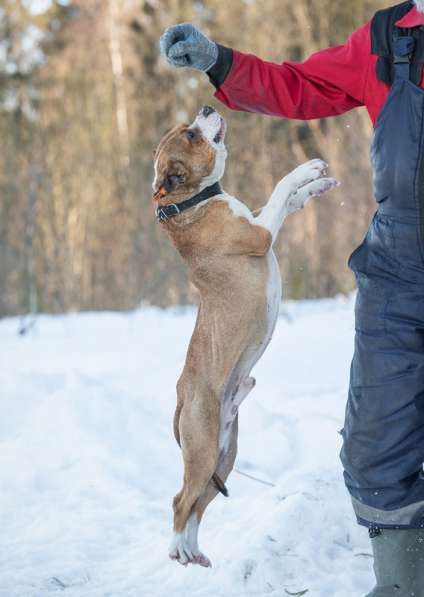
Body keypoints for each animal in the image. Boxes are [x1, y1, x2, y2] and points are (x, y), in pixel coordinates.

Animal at [152, 106, 338, 568]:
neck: (189, 202)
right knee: (180, 500)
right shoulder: (260, 232)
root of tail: (180, 396)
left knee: (198, 504)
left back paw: (195, 552)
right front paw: (306, 170)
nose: (205, 107)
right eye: (190, 135)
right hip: (202, 451)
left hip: (224, 454)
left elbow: (289, 200)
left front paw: (318, 184)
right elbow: (281, 189)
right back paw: (177, 551)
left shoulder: (258, 219)